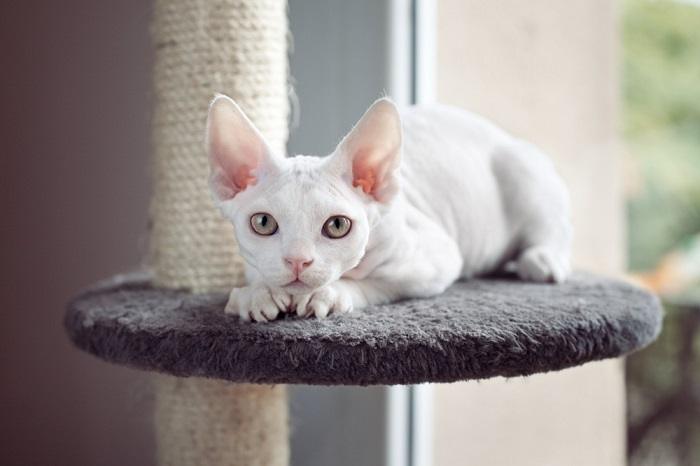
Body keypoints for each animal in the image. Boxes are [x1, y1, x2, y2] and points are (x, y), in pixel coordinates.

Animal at [205, 93, 572, 320]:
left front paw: (331, 293)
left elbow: (375, 284)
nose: (297, 261)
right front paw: (256, 295)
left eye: (337, 226)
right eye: (263, 223)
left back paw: (542, 259)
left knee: (550, 228)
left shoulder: (434, 259)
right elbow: (254, 282)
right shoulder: (255, 264)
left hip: (523, 172)